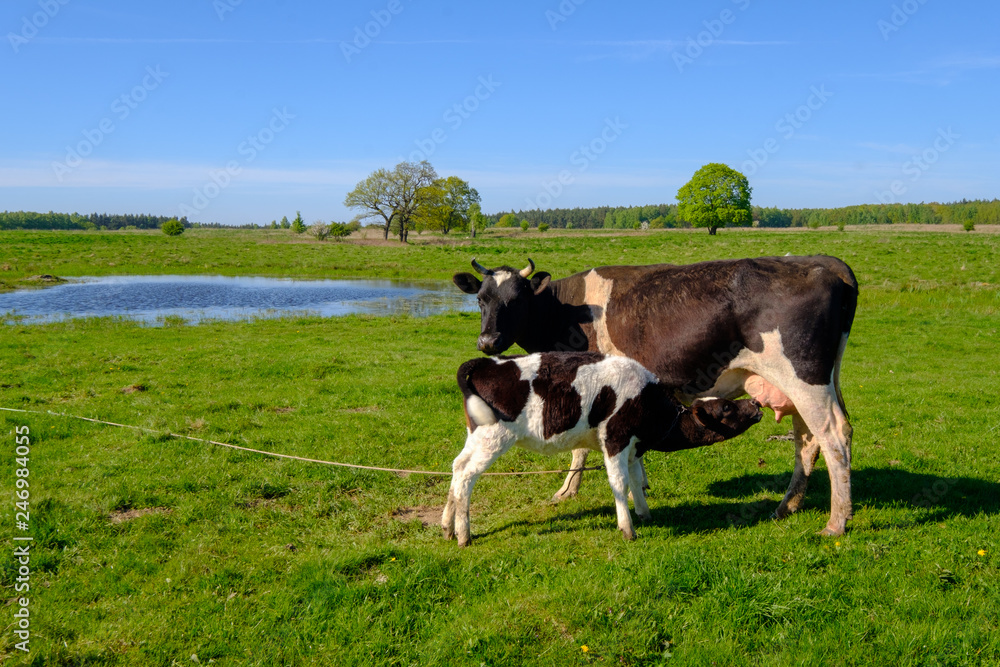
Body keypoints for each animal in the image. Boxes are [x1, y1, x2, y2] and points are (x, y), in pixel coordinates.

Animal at [442, 352, 760, 544]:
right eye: (727, 408)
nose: (756, 404)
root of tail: (488, 362)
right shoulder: (615, 439)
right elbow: (619, 482)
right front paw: (628, 528)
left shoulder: (633, 447)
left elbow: (635, 479)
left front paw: (644, 514)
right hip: (494, 438)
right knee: (467, 477)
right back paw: (464, 535)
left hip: (477, 434)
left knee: (457, 468)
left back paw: (447, 526)